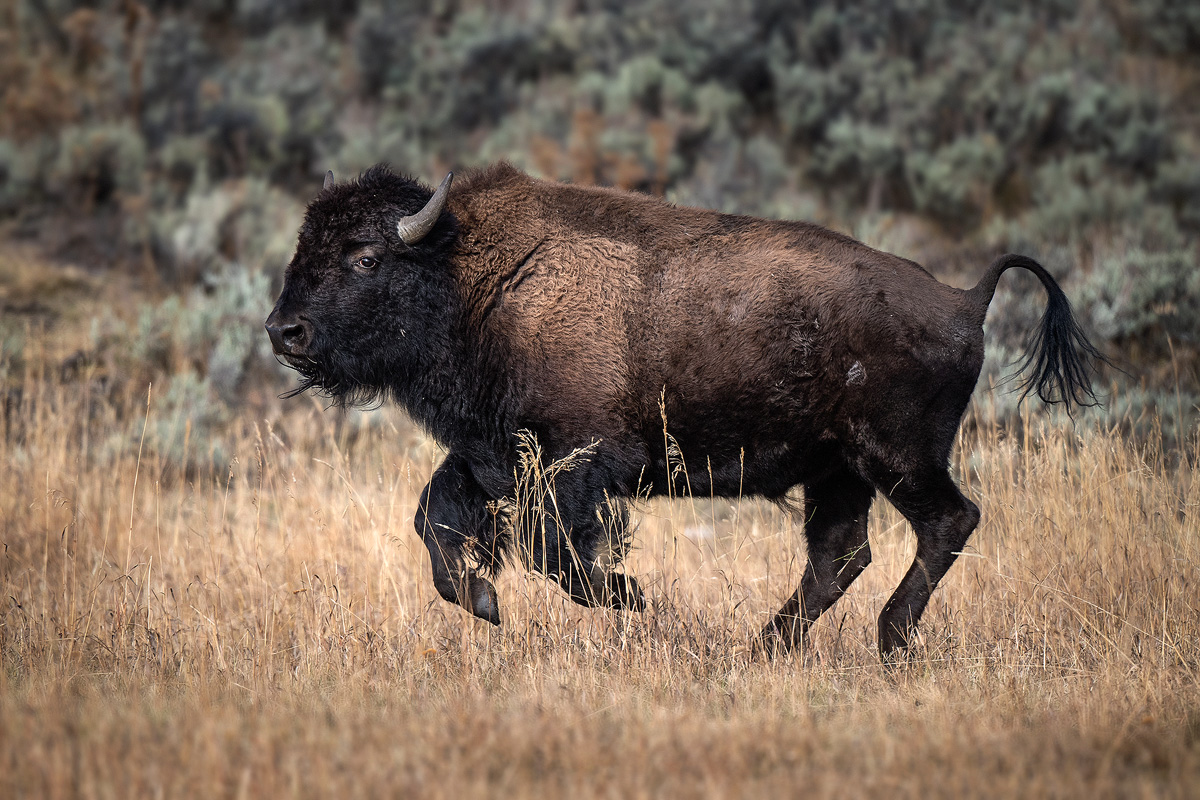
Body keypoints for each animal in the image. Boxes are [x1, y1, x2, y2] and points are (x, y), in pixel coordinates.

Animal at [267, 163, 1099, 657]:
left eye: (365, 257)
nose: (283, 331)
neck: (471, 276)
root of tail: (965, 299)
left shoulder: (576, 464)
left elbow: (555, 551)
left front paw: (635, 599)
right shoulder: (489, 456)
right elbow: (435, 522)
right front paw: (483, 600)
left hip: (895, 456)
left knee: (946, 522)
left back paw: (887, 639)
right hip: (836, 470)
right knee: (841, 554)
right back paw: (764, 647)